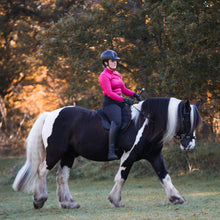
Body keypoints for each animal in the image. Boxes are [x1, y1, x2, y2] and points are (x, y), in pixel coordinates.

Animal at [11, 97, 201, 210]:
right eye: (187, 119)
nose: (189, 144)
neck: (145, 123)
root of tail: (51, 114)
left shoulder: (154, 156)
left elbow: (164, 176)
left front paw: (176, 197)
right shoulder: (129, 155)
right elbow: (122, 176)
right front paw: (116, 200)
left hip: (68, 156)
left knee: (61, 177)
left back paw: (68, 203)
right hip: (54, 153)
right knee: (42, 171)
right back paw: (39, 200)